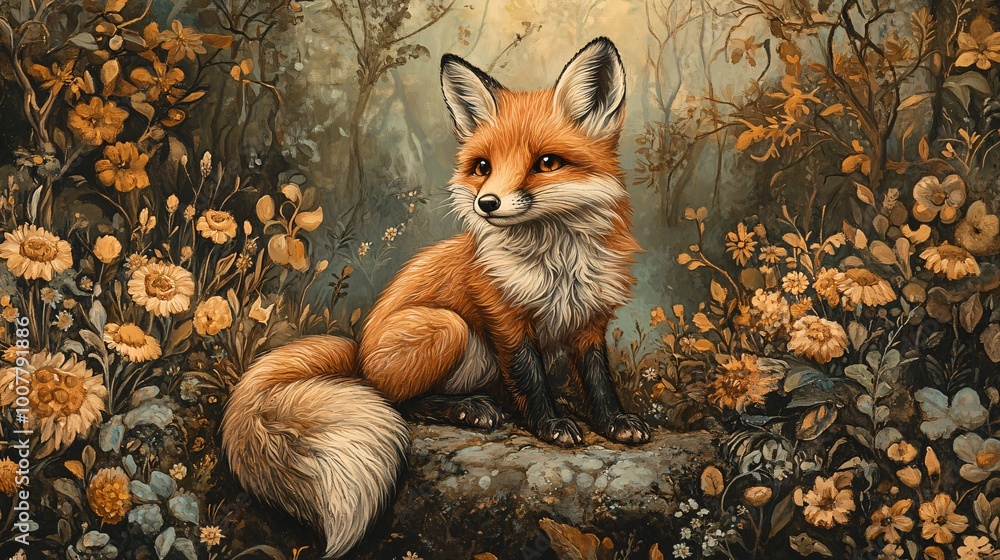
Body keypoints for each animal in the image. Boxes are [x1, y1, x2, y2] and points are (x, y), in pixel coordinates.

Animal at [221, 37, 650, 558]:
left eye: (546, 163)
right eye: (483, 167)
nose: (487, 203)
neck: (558, 266)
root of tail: (357, 350)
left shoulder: (590, 319)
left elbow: (597, 378)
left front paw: (613, 422)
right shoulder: (504, 316)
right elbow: (530, 377)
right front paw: (550, 424)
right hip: (448, 326)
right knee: (393, 401)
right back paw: (468, 409)